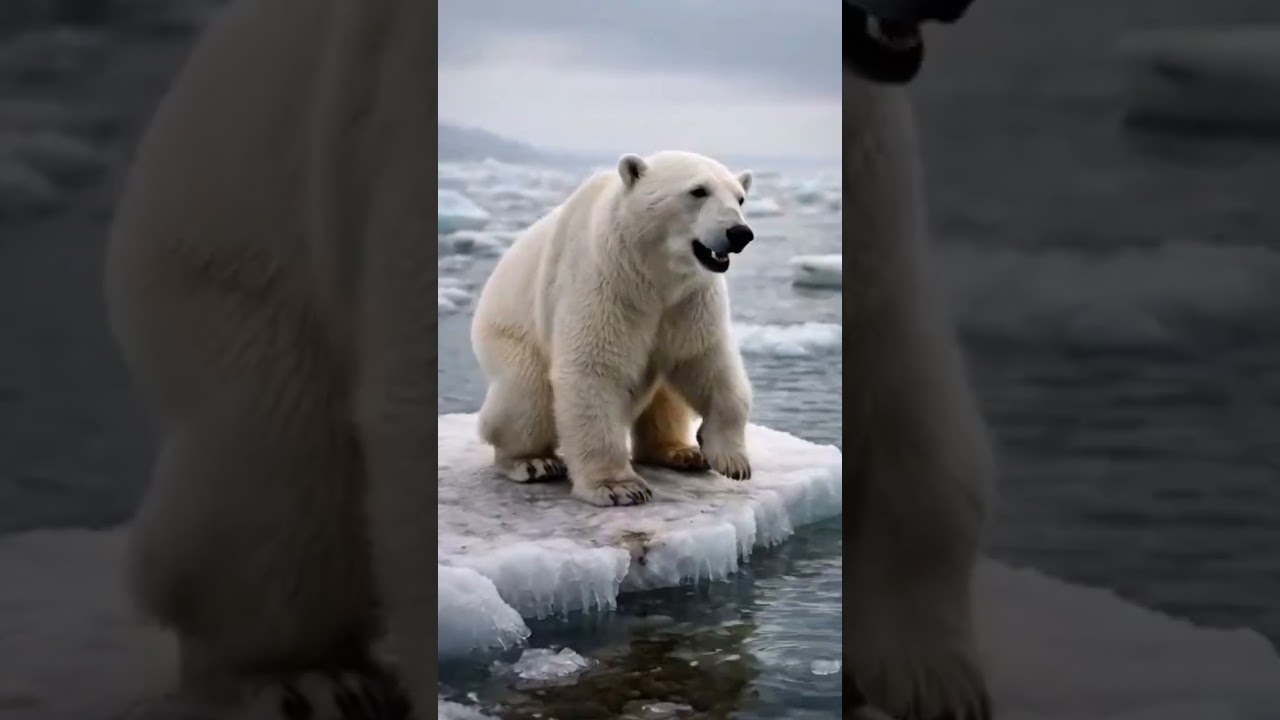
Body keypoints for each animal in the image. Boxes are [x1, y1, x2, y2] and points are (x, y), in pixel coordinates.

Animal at [469, 150, 756, 507]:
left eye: (740, 197)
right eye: (698, 191)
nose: (740, 233)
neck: (654, 275)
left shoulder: (690, 299)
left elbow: (707, 360)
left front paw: (732, 459)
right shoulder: (605, 282)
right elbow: (594, 369)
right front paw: (619, 487)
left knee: (665, 397)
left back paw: (681, 452)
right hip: (509, 335)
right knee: (525, 396)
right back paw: (532, 461)